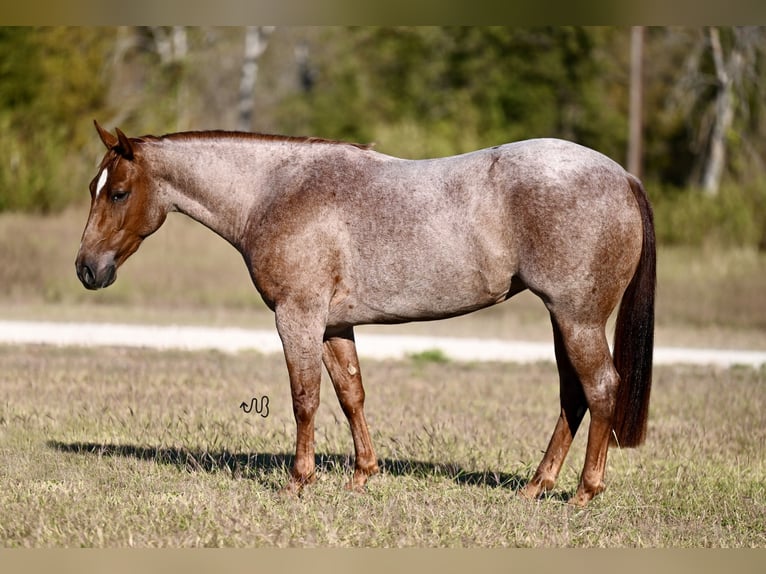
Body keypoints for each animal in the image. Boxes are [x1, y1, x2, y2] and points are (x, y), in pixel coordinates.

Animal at [76, 119, 656, 506]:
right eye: (93, 188)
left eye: (119, 192)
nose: (86, 268)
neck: (275, 191)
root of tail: (623, 177)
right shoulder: (334, 325)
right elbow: (350, 394)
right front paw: (363, 474)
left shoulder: (298, 316)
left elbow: (305, 398)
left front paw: (299, 480)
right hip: (564, 319)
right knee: (573, 395)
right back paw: (537, 486)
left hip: (578, 318)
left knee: (600, 388)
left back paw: (584, 492)